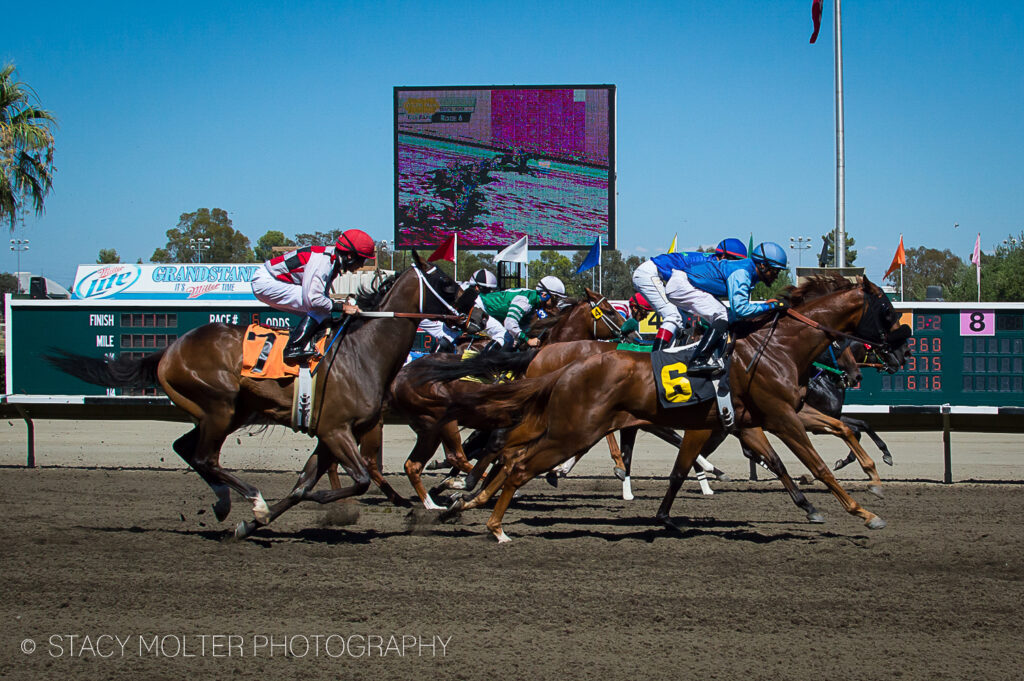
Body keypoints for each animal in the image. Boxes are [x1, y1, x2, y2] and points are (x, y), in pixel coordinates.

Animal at [46, 253, 462, 536]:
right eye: (447, 285)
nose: (470, 313)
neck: (362, 352)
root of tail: (168, 350)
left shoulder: (330, 434)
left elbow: (303, 485)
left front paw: (251, 526)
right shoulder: (336, 430)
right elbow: (354, 480)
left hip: (232, 412)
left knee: (186, 449)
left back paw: (225, 503)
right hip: (219, 405)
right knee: (204, 456)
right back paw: (253, 500)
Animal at [413, 274, 905, 540]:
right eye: (885, 307)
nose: (900, 347)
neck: (777, 346)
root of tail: (555, 360)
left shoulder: (748, 419)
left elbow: (795, 452)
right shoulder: (779, 415)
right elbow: (814, 463)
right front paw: (863, 510)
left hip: (559, 421)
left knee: (507, 450)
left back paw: (467, 498)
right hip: (571, 426)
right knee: (509, 454)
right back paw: (472, 501)